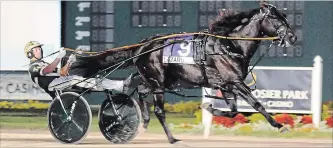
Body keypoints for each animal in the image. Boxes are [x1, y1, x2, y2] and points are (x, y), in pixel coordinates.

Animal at [67, 2, 296, 145]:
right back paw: (172, 139)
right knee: (159, 110)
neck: (230, 45)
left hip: (160, 80)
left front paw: (209, 107)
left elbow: (232, 111)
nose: (293, 37)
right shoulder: (235, 82)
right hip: (158, 81)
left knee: (141, 91)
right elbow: (257, 104)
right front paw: (279, 125)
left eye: (285, 15)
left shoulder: (226, 84)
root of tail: (144, 45)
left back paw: (144, 123)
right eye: (275, 17)